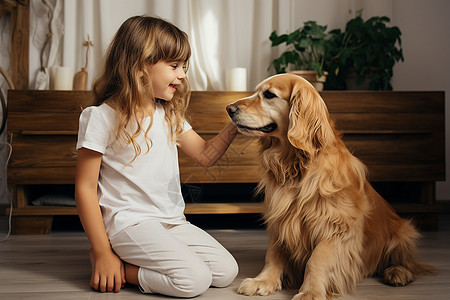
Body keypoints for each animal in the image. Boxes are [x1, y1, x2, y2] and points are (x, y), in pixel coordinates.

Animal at [227, 73, 434, 300]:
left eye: (269, 95)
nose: (229, 108)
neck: (298, 166)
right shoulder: (280, 218)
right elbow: (273, 254)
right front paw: (263, 281)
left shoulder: (337, 226)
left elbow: (317, 259)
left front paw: (310, 292)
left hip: (404, 232)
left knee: (408, 263)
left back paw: (397, 273)